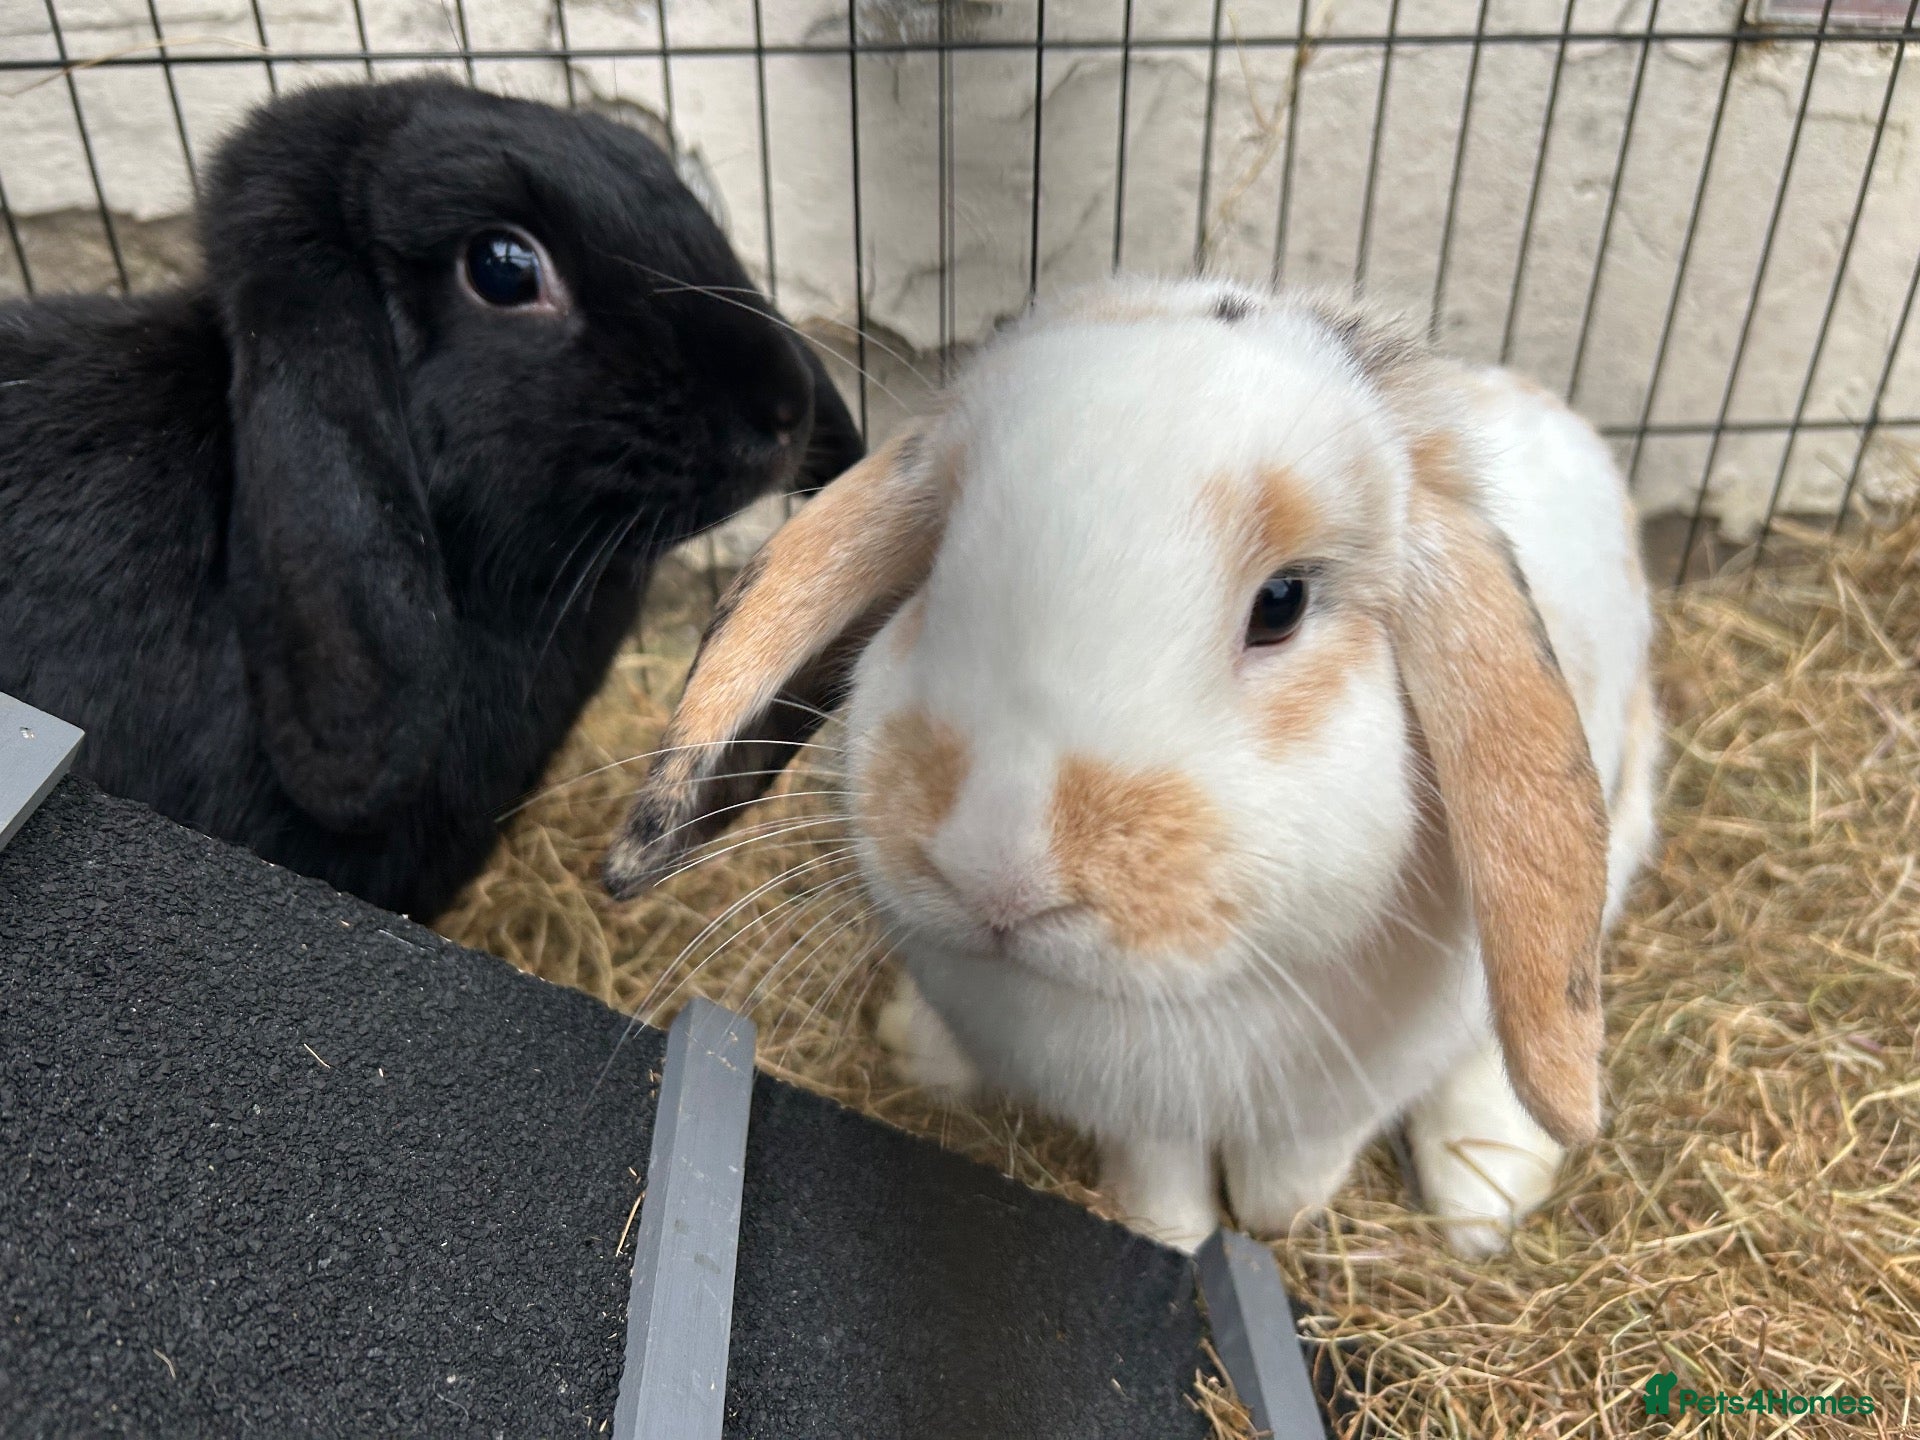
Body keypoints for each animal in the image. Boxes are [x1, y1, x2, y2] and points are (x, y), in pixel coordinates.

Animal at [603, 276, 1660, 1257]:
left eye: (1282, 603)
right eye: (938, 568)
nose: (995, 867)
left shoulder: (1340, 1099)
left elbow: (1289, 1174)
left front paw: (1275, 1226)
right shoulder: (1137, 1119)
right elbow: (1159, 1182)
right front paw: (1175, 1237)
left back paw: (1487, 1192)